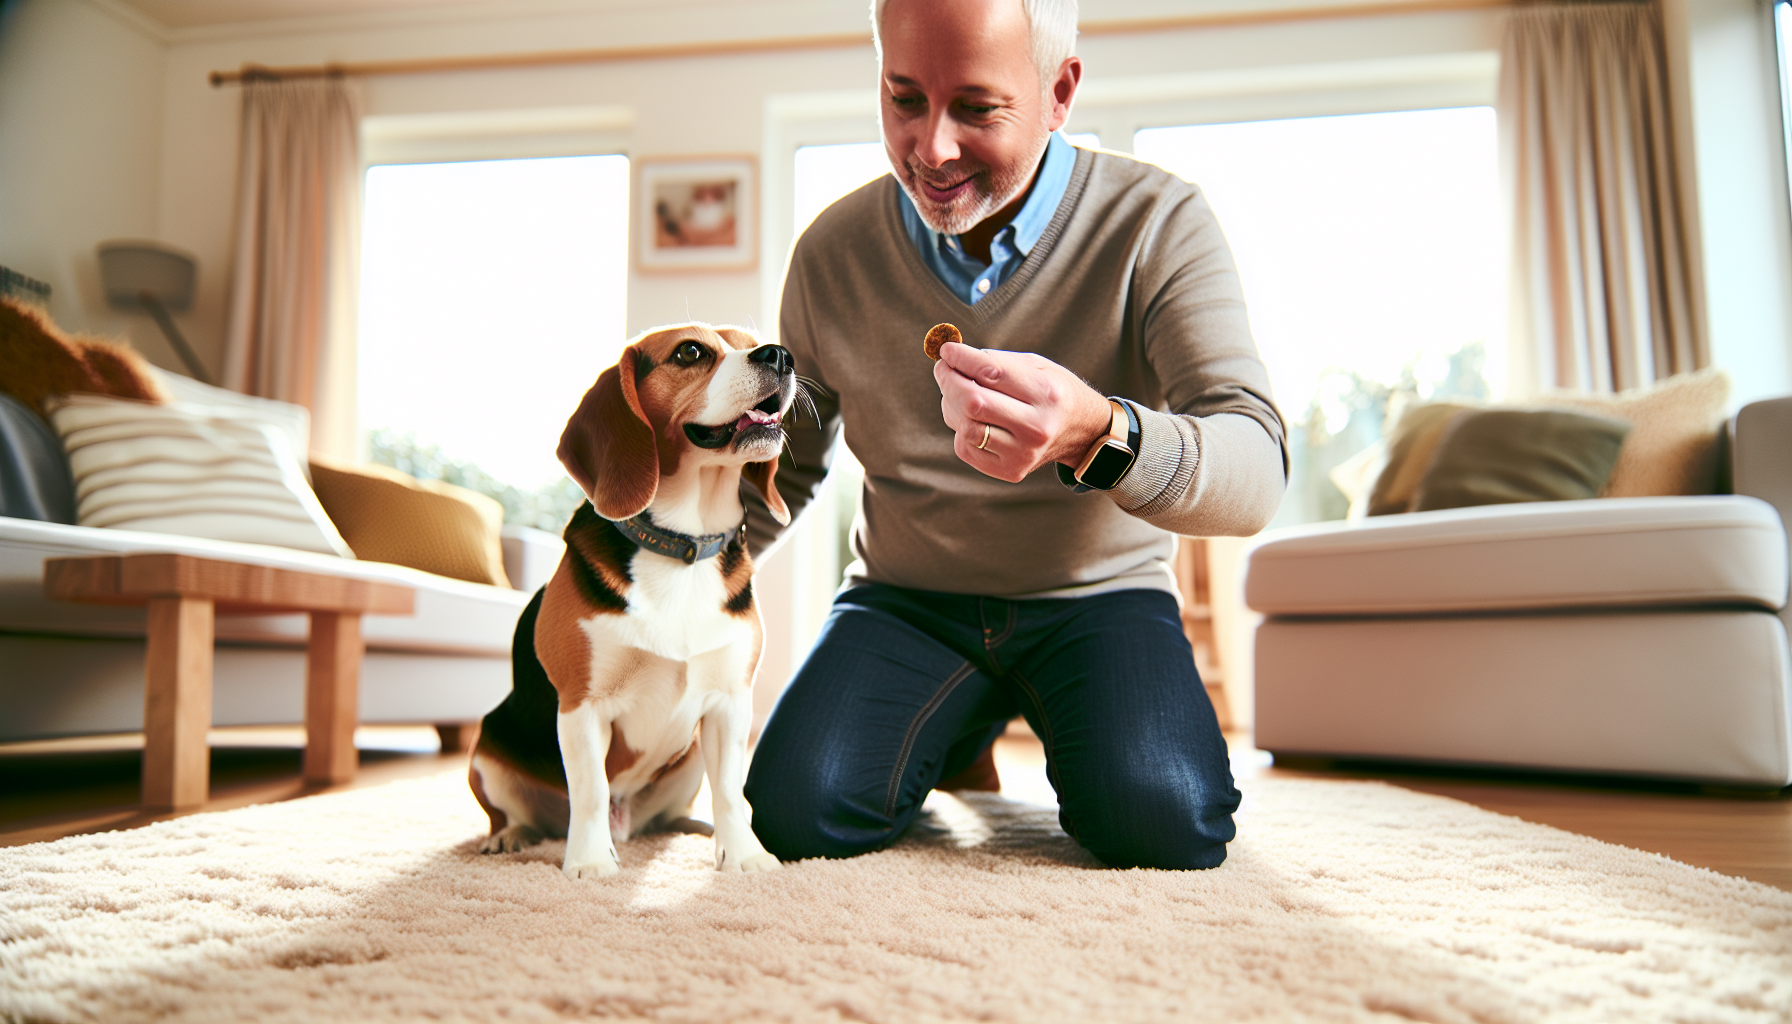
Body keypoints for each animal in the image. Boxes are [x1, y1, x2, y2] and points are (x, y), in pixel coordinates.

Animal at [469, 324, 792, 878]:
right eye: (690, 351)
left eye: (752, 341)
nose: (780, 355)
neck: (682, 545)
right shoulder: (582, 704)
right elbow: (591, 791)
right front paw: (591, 863)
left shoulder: (729, 702)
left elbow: (730, 791)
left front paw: (744, 854)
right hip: (486, 749)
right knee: (522, 814)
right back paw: (510, 836)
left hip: (687, 760)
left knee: (671, 815)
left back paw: (690, 828)